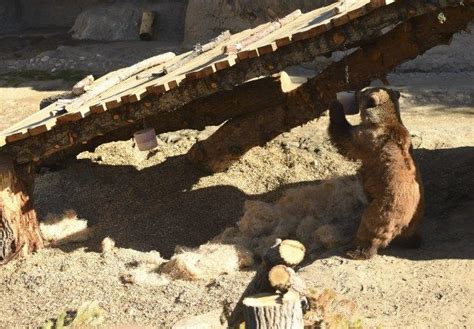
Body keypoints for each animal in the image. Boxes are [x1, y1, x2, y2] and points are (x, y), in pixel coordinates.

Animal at [328, 87, 424, 258]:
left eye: (361, 93)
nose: (355, 91)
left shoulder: (366, 138)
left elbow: (345, 137)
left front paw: (336, 104)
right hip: (416, 214)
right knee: (411, 232)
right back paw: (413, 242)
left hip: (383, 208)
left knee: (370, 228)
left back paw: (357, 251)